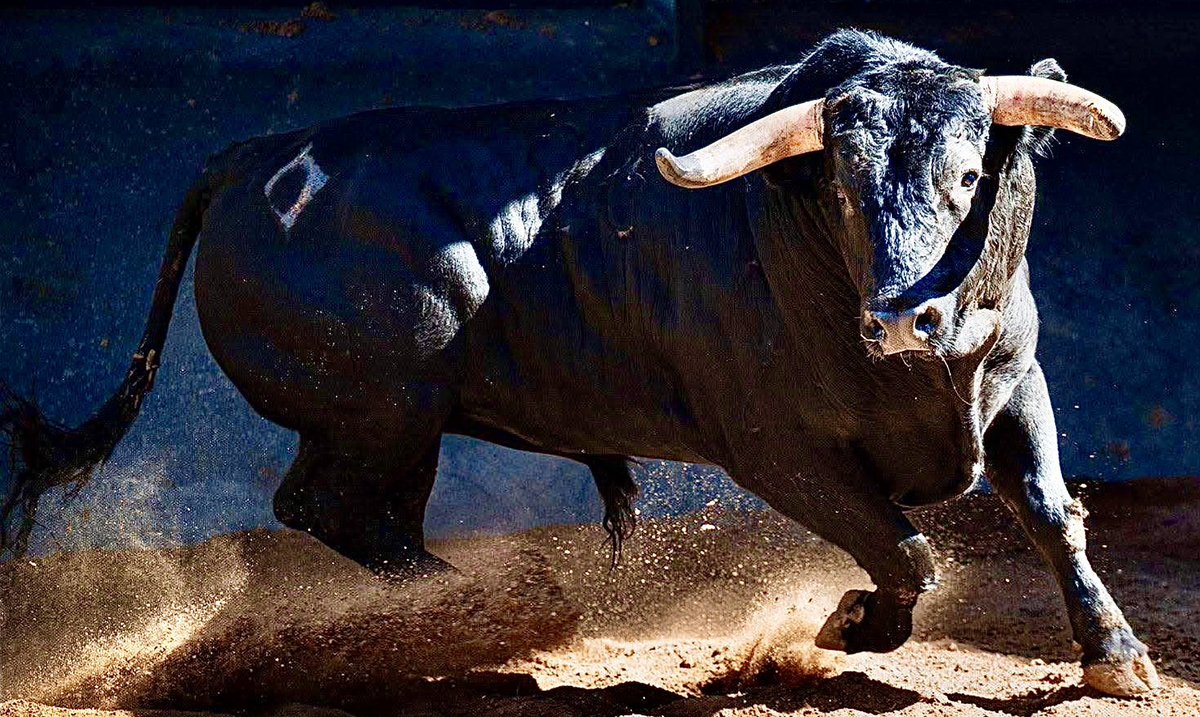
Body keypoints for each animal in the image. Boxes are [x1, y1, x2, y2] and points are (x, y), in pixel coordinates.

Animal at [0, 30, 1156, 696]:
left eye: (969, 174)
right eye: (837, 184)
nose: (905, 321)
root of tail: (251, 157)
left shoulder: (1016, 382)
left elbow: (1051, 514)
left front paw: (1115, 655)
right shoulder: (775, 452)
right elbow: (906, 551)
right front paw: (855, 623)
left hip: (396, 427)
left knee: (363, 515)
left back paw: (458, 612)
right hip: (388, 404)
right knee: (321, 505)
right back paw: (493, 613)